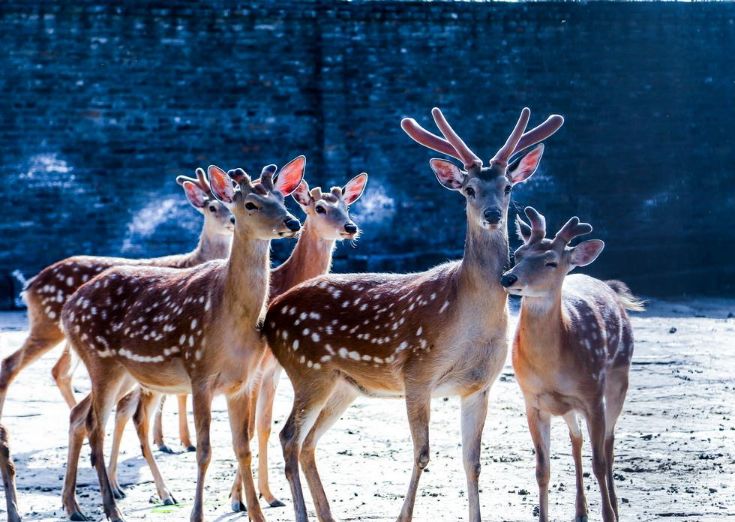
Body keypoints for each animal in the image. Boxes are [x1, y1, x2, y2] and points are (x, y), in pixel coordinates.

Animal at [0, 171, 233, 418]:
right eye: (212, 207)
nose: (232, 221)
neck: (192, 260)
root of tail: (30, 286)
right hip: (47, 323)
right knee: (12, 363)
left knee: (59, 371)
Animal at [60, 159, 304, 520]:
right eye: (250, 203)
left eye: (281, 199)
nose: (293, 221)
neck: (229, 317)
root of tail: (67, 309)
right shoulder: (199, 372)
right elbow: (203, 450)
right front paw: (197, 513)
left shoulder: (243, 381)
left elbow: (242, 447)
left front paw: (256, 512)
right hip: (99, 360)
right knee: (95, 427)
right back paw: (112, 508)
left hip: (124, 373)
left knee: (79, 415)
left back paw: (74, 505)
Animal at [101, 170, 370, 508]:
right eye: (320, 208)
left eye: (347, 207)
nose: (350, 227)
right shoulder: (255, 371)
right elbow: (252, 430)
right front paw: (238, 498)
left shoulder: (271, 370)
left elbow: (263, 427)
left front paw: (268, 495)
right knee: (127, 411)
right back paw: (133, 488)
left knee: (123, 409)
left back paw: (129, 486)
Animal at [258, 105, 564, 520]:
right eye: (469, 189)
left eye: (508, 187)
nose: (492, 214)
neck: (470, 317)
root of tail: (269, 314)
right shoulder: (417, 372)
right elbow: (422, 454)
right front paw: (404, 515)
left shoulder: (481, 385)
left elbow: (472, 462)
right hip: (308, 370)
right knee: (288, 435)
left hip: (343, 385)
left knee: (308, 442)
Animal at [500, 207, 644, 520]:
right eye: (518, 253)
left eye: (551, 261)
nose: (508, 278)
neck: (552, 368)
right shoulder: (533, 400)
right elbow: (542, 470)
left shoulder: (593, 395)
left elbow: (598, 463)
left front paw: (609, 514)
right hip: (566, 405)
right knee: (576, 439)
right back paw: (580, 510)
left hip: (619, 377)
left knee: (609, 443)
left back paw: (614, 506)